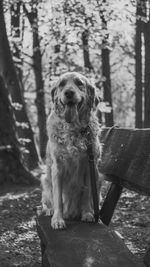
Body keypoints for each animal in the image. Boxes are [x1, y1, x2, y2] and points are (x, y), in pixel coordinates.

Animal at [41, 71, 102, 230]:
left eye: (79, 83)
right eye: (61, 84)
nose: (69, 92)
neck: (74, 128)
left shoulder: (90, 166)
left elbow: (87, 192)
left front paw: (87, 213)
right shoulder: (57, 167)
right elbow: (58, 198)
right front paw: (57, 219)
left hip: (99, 178)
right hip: (45, 179)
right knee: (47, 200)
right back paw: (49, 210)